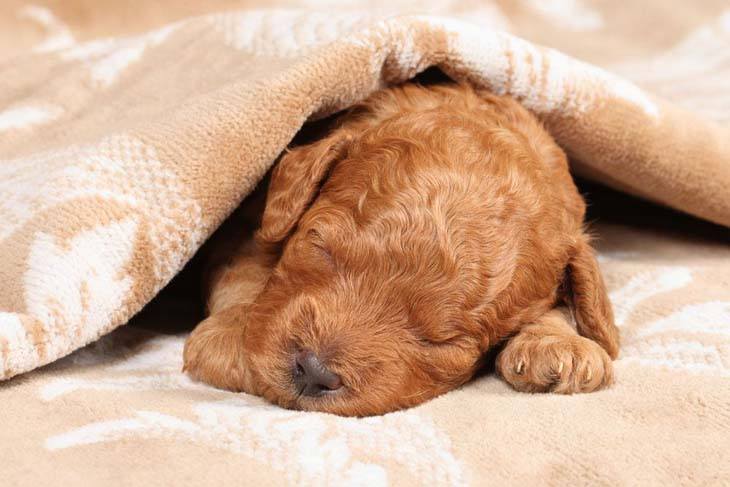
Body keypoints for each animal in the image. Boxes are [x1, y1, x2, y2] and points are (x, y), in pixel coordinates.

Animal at [183, 82, 620, 418]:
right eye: (320, 247)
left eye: (443, 341)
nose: (314, 370)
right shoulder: (247, 220)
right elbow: (247, 263)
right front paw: (232, 332)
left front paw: (558, 345)